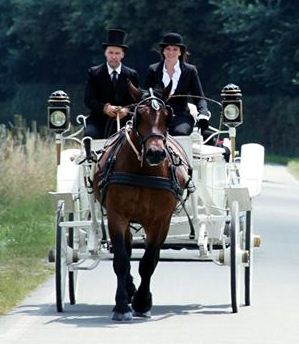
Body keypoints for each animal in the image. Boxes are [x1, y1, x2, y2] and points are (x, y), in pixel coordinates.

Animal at [94, 83, 190, 320]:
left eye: (167, 116)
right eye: (138, 115)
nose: (155, 153)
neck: (143, 171)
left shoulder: (160, 221)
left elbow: (149, 262)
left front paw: (142, 302)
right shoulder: (117, 215)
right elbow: (121, 260)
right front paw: (121, 305)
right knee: (127, 252)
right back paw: (128, 290)